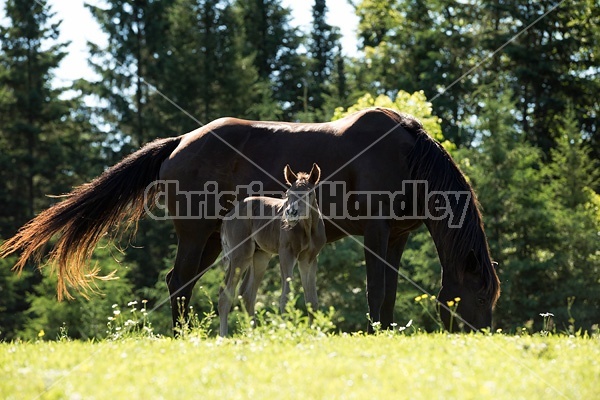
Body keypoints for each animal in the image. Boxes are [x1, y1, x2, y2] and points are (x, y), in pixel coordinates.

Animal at [218, 164, 326, 336]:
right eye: (288, 194)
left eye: (308, 193)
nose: (291, 213)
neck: (308, 229)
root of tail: (227, 217)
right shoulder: (286, 254)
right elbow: (285, 298)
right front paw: (287, 333)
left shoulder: (309, 258)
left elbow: (312, 301)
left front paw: (314, 334)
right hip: (241, 254)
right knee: (225, 294)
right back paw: (224, 336)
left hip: (260, 256)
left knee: (247, 294)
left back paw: (254, 334)